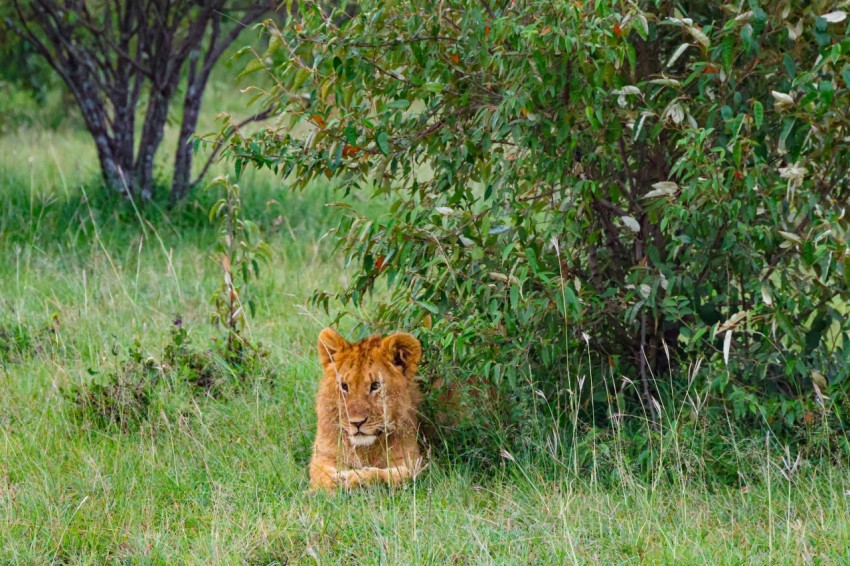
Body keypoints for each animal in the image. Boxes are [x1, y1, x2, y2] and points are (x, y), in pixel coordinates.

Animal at [309, 328, 426, 490]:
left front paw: (354, 478)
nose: (356, 423)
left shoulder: (410, 459)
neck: (364, 449)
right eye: (344, 386)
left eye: (375, 385)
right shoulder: (323, 456)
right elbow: (322, 476)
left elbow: (392, 475)